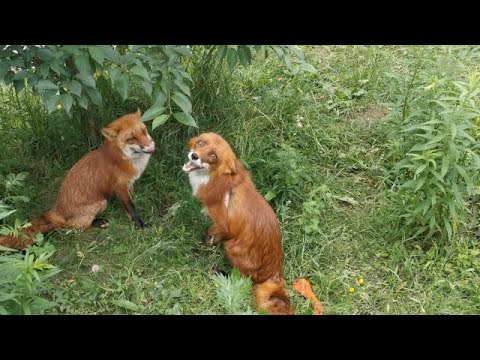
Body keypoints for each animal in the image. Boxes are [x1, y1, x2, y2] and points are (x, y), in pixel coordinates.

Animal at [0, 109, 154, 250]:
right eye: (131, 139)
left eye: (144, 131)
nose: (151, 146)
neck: (123, 157)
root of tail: (58, 212)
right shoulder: (120, 187)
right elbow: (131, 208)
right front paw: (141, 224)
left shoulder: (129, 185)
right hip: (102, 202)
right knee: (74, 226)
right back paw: (98, 222)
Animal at [183, 132, 292, 316]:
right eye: (201, 143)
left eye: (213, 156)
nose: (195, 156)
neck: (219, 180)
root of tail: (275, 273)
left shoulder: (223, 226)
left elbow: (211, 237)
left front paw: (201, 249)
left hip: (232, 248)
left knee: (243, 279)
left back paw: (221, 273)